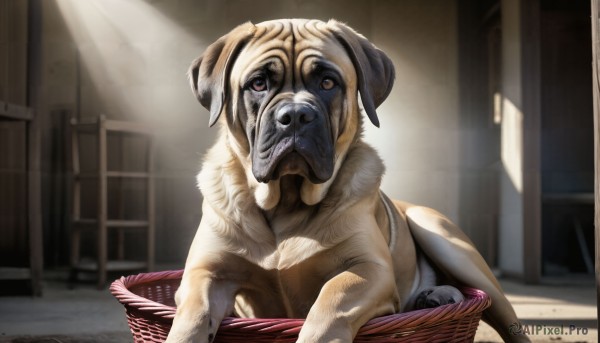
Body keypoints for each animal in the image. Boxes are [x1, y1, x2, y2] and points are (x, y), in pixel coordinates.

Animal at [168, 18, 528, 343]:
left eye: (328, 83)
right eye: (258, 84)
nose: (295, 115)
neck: (287, 201)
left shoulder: (369, 268)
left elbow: (330, 304)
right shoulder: (206, 271)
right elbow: (193, 314)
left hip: (446, 241)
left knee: (506, 318)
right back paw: (434, 297)